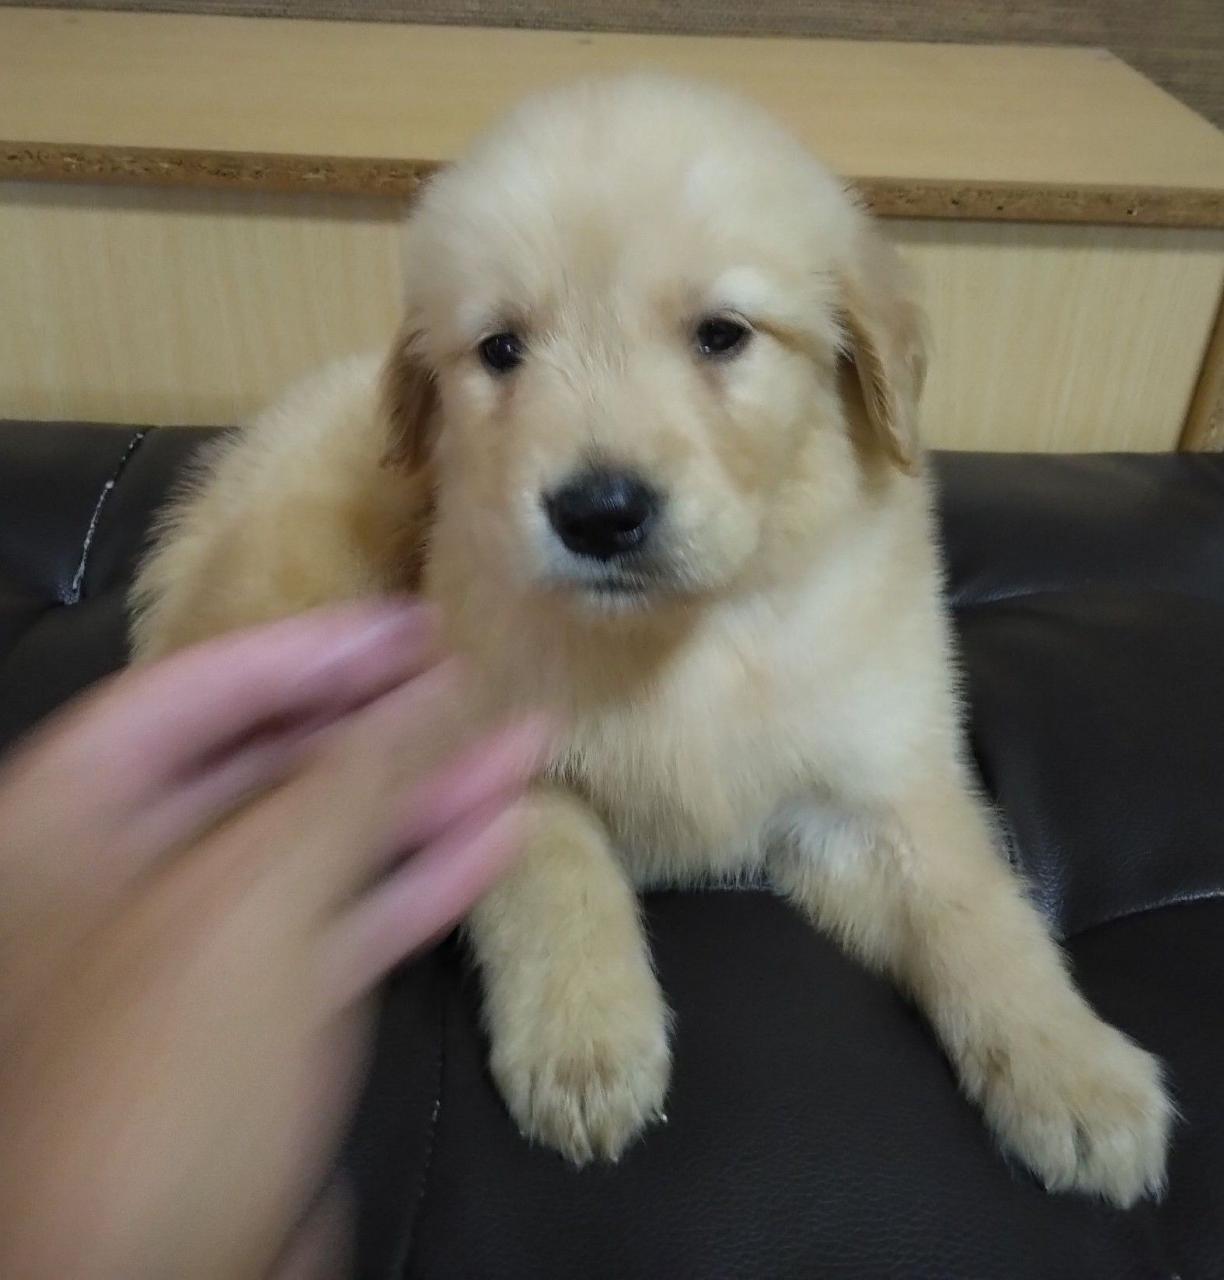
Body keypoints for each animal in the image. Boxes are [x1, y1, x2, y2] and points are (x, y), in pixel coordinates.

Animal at [131, 75, 1172, 1206]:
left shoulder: (874, 786)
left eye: (722, 335)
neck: (689, 631)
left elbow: (977, 906)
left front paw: (1076, 1073)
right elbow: (559, 876)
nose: (598, 513)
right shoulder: (489, 751)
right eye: (502, 349)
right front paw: (586, 1047)